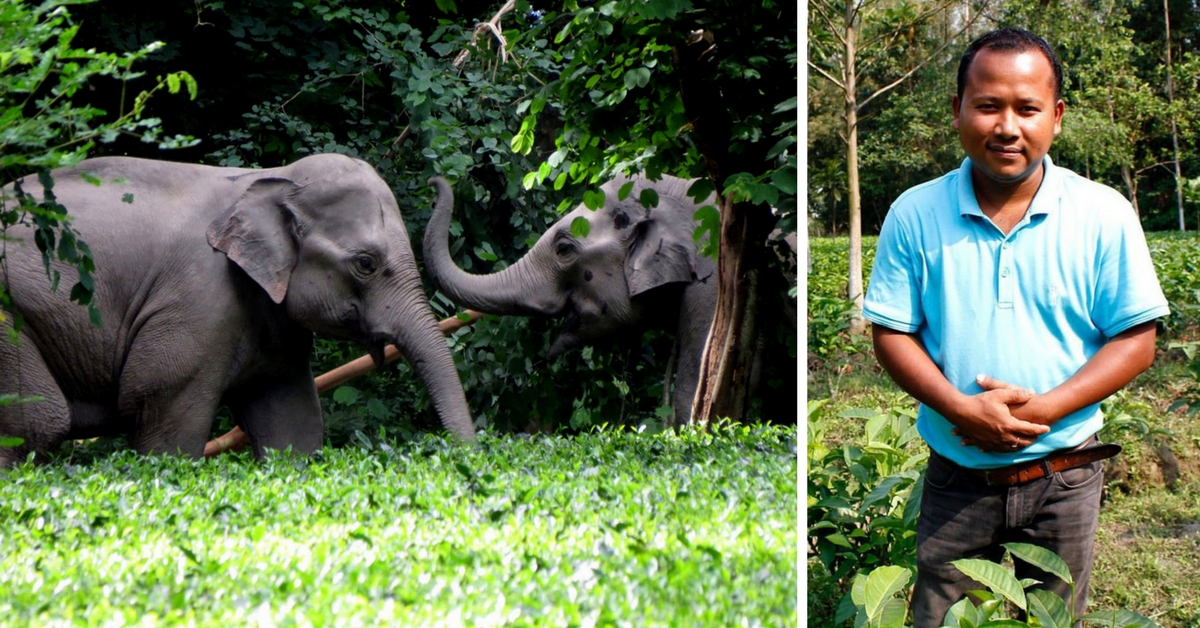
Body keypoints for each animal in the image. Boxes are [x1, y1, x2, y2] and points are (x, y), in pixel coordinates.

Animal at [1, 153, 477, 465]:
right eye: (365, 264)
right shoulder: (197, 301)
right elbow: (160, 403)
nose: (435, 181)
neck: (267, 178)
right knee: (38, 422)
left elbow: (291, 419)